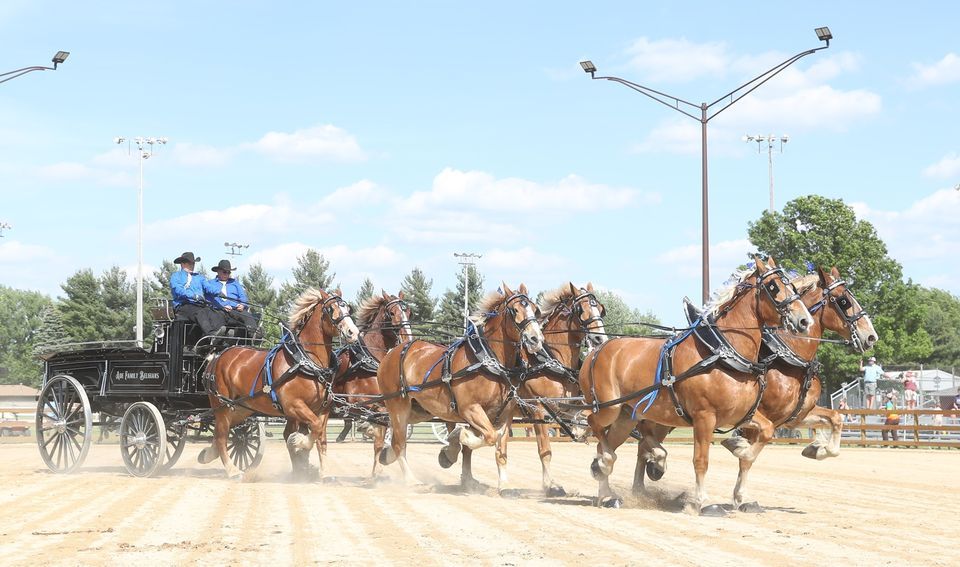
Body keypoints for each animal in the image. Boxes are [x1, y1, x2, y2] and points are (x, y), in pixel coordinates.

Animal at [199, 288, 359, 479]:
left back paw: (209, 455)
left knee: (219, 433)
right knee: (222, 436)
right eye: (331, 309)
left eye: (347, 309)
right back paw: (233, 471)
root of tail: (216, 357)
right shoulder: (293, 405)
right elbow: (313, 428)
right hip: (222, 406)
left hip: (240, 408)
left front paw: (324, 473)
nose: (353, 332)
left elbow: (321, 436)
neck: (305, 361)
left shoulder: (323, 409)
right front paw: (299, 442)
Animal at [375, 283, 544, 493]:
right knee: (399, 443)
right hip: (398, 406)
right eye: (514, 310)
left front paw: (504, 484)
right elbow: (489, 437)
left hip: (419, 410)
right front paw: (458, 438)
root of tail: (392, 353)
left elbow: (500, 449)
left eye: (535, 309)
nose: (535, 339)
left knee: (395, 438)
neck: (489, 361)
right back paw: (412, 480)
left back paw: (386, 455)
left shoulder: (506, 414)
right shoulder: (470, 409)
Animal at [448, 283, 607, 496]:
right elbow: (545, 450)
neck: (551, 360)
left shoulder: (567, 407)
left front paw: (580, 432)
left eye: (600, 308)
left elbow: (587, 419)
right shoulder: (539, 410)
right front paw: (550, 485)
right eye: (580, 309)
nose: (599, 338)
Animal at [579, 256, 812, 513]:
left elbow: (763, 436)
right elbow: (701, 460)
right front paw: (700, 501)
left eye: (792, 285)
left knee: (607, 444)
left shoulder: (744, 414)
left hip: (626, 416)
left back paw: (607, 492)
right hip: (609, 408)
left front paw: (740, 460)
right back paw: (604, 466)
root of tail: (596, 351)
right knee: (595, 427)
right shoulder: (704, 417)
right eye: (773, 287)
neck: (723, 352)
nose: (804, 320)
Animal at [632, 266, 877, 511]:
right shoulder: (757, 415)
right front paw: (740, 483)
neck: (787, 359)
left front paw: (817, 449)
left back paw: (646, 479)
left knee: (643, 442)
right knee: (643, 440)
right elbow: (747, 457)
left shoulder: (796, 415)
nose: (871, 336)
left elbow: (836, 418)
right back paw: (648, 477)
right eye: (844, 300)